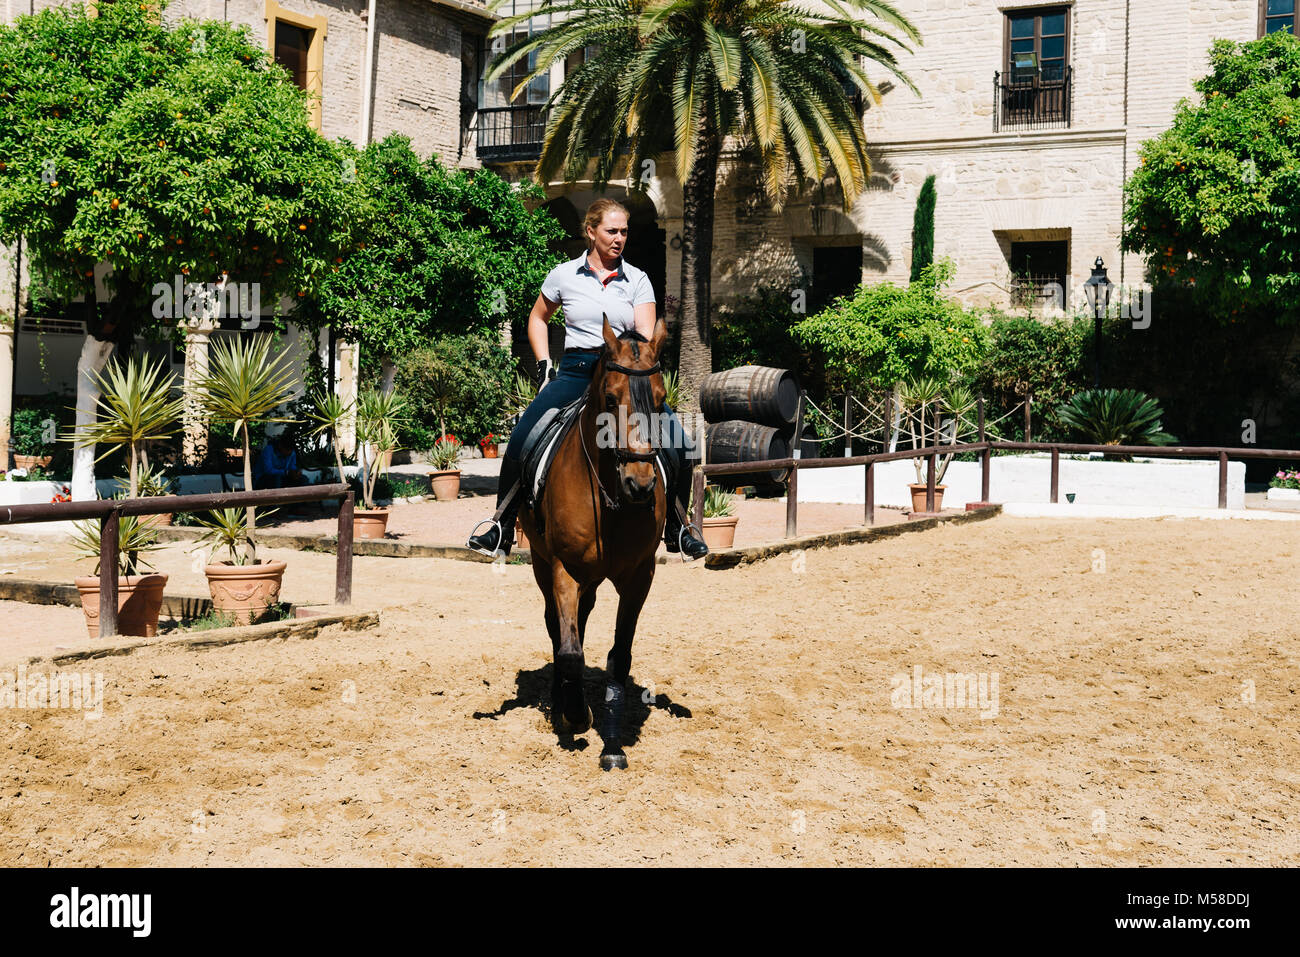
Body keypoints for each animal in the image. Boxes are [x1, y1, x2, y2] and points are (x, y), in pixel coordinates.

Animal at [519, 316, 670, 771]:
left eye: (661, 399)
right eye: (610, 397)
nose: (639, 484)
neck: (610, 500)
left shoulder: (639, 576)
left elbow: (619, 656)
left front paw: (613, 745)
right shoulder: (562, 569)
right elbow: (569, 650)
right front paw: (577, 715)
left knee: (581, 621)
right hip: (541, 562)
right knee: (558, 628)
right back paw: (562, 704)